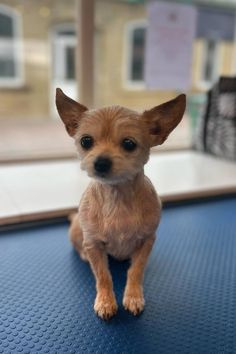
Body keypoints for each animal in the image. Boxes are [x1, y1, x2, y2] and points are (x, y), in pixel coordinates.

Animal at [55, 89, 186, 320]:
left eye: (129, 144)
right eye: (86, 141)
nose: (100, 162)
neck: (117, 198)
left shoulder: (146, 241)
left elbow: (136, 271)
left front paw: (133, 297)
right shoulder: (94, 244)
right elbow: (103, 275)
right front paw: (106, 301)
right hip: (78, 232)